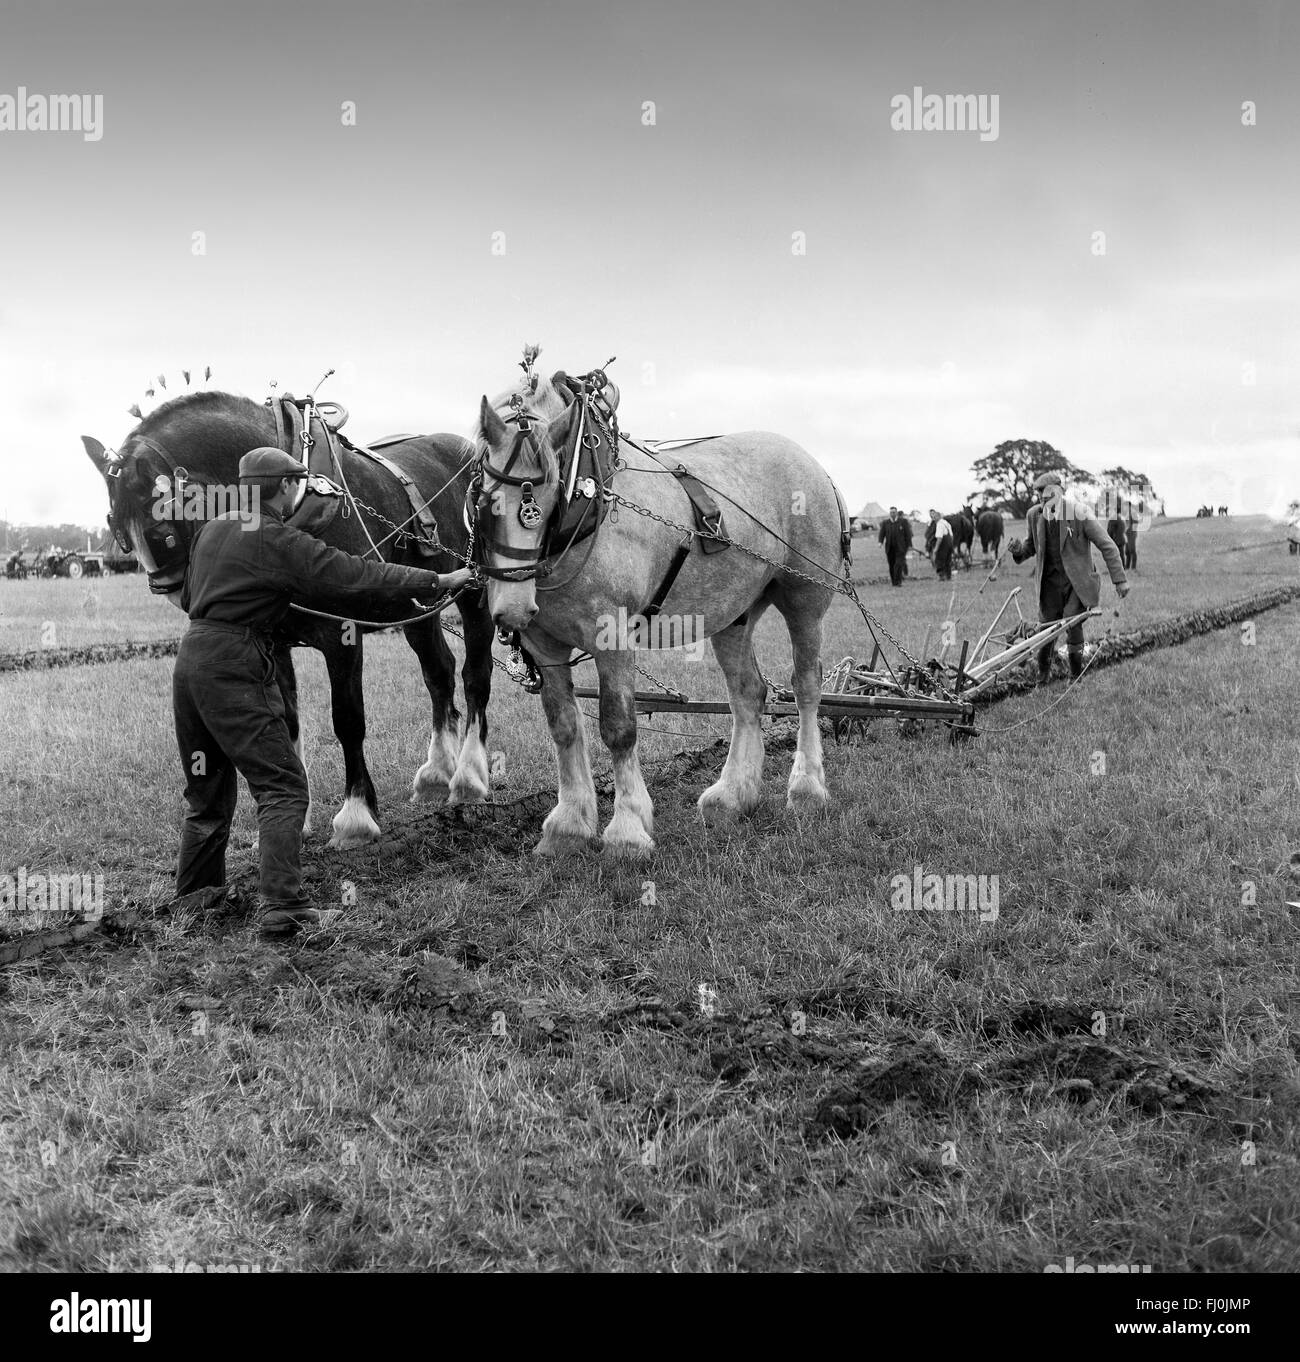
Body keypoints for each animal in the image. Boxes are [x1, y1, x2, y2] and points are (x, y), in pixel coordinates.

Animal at [81, 389, 493, 844]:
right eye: (119, 533)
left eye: (162, 531)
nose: (181, 595)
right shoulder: (274, 643)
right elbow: (287, 723)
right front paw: (297, 816)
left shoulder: (343, 635)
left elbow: (348, 719)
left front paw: (355, 815)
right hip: (417, 606)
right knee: (439, 672)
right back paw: (438, 771)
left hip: (476, 594)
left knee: (475, 675)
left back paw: (469, 776)